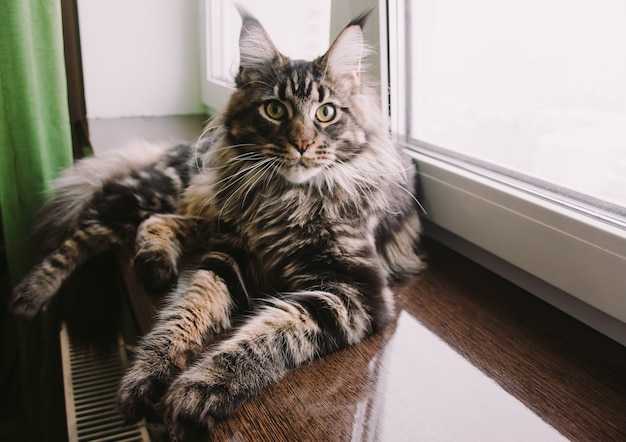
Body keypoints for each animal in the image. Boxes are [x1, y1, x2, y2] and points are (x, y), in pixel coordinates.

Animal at [7, 8, 422, 440]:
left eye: (326, 112)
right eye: (275, 110)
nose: (302, 144)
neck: (284, 199)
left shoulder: (353, 290)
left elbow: (269, 334)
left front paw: (200, 387)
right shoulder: (228, 256)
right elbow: (185, 312)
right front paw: (149, 374)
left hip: (204, 213)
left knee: (156, 222)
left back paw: (155, 264)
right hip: (171, 193)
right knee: (86, 233)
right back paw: (30, 294)